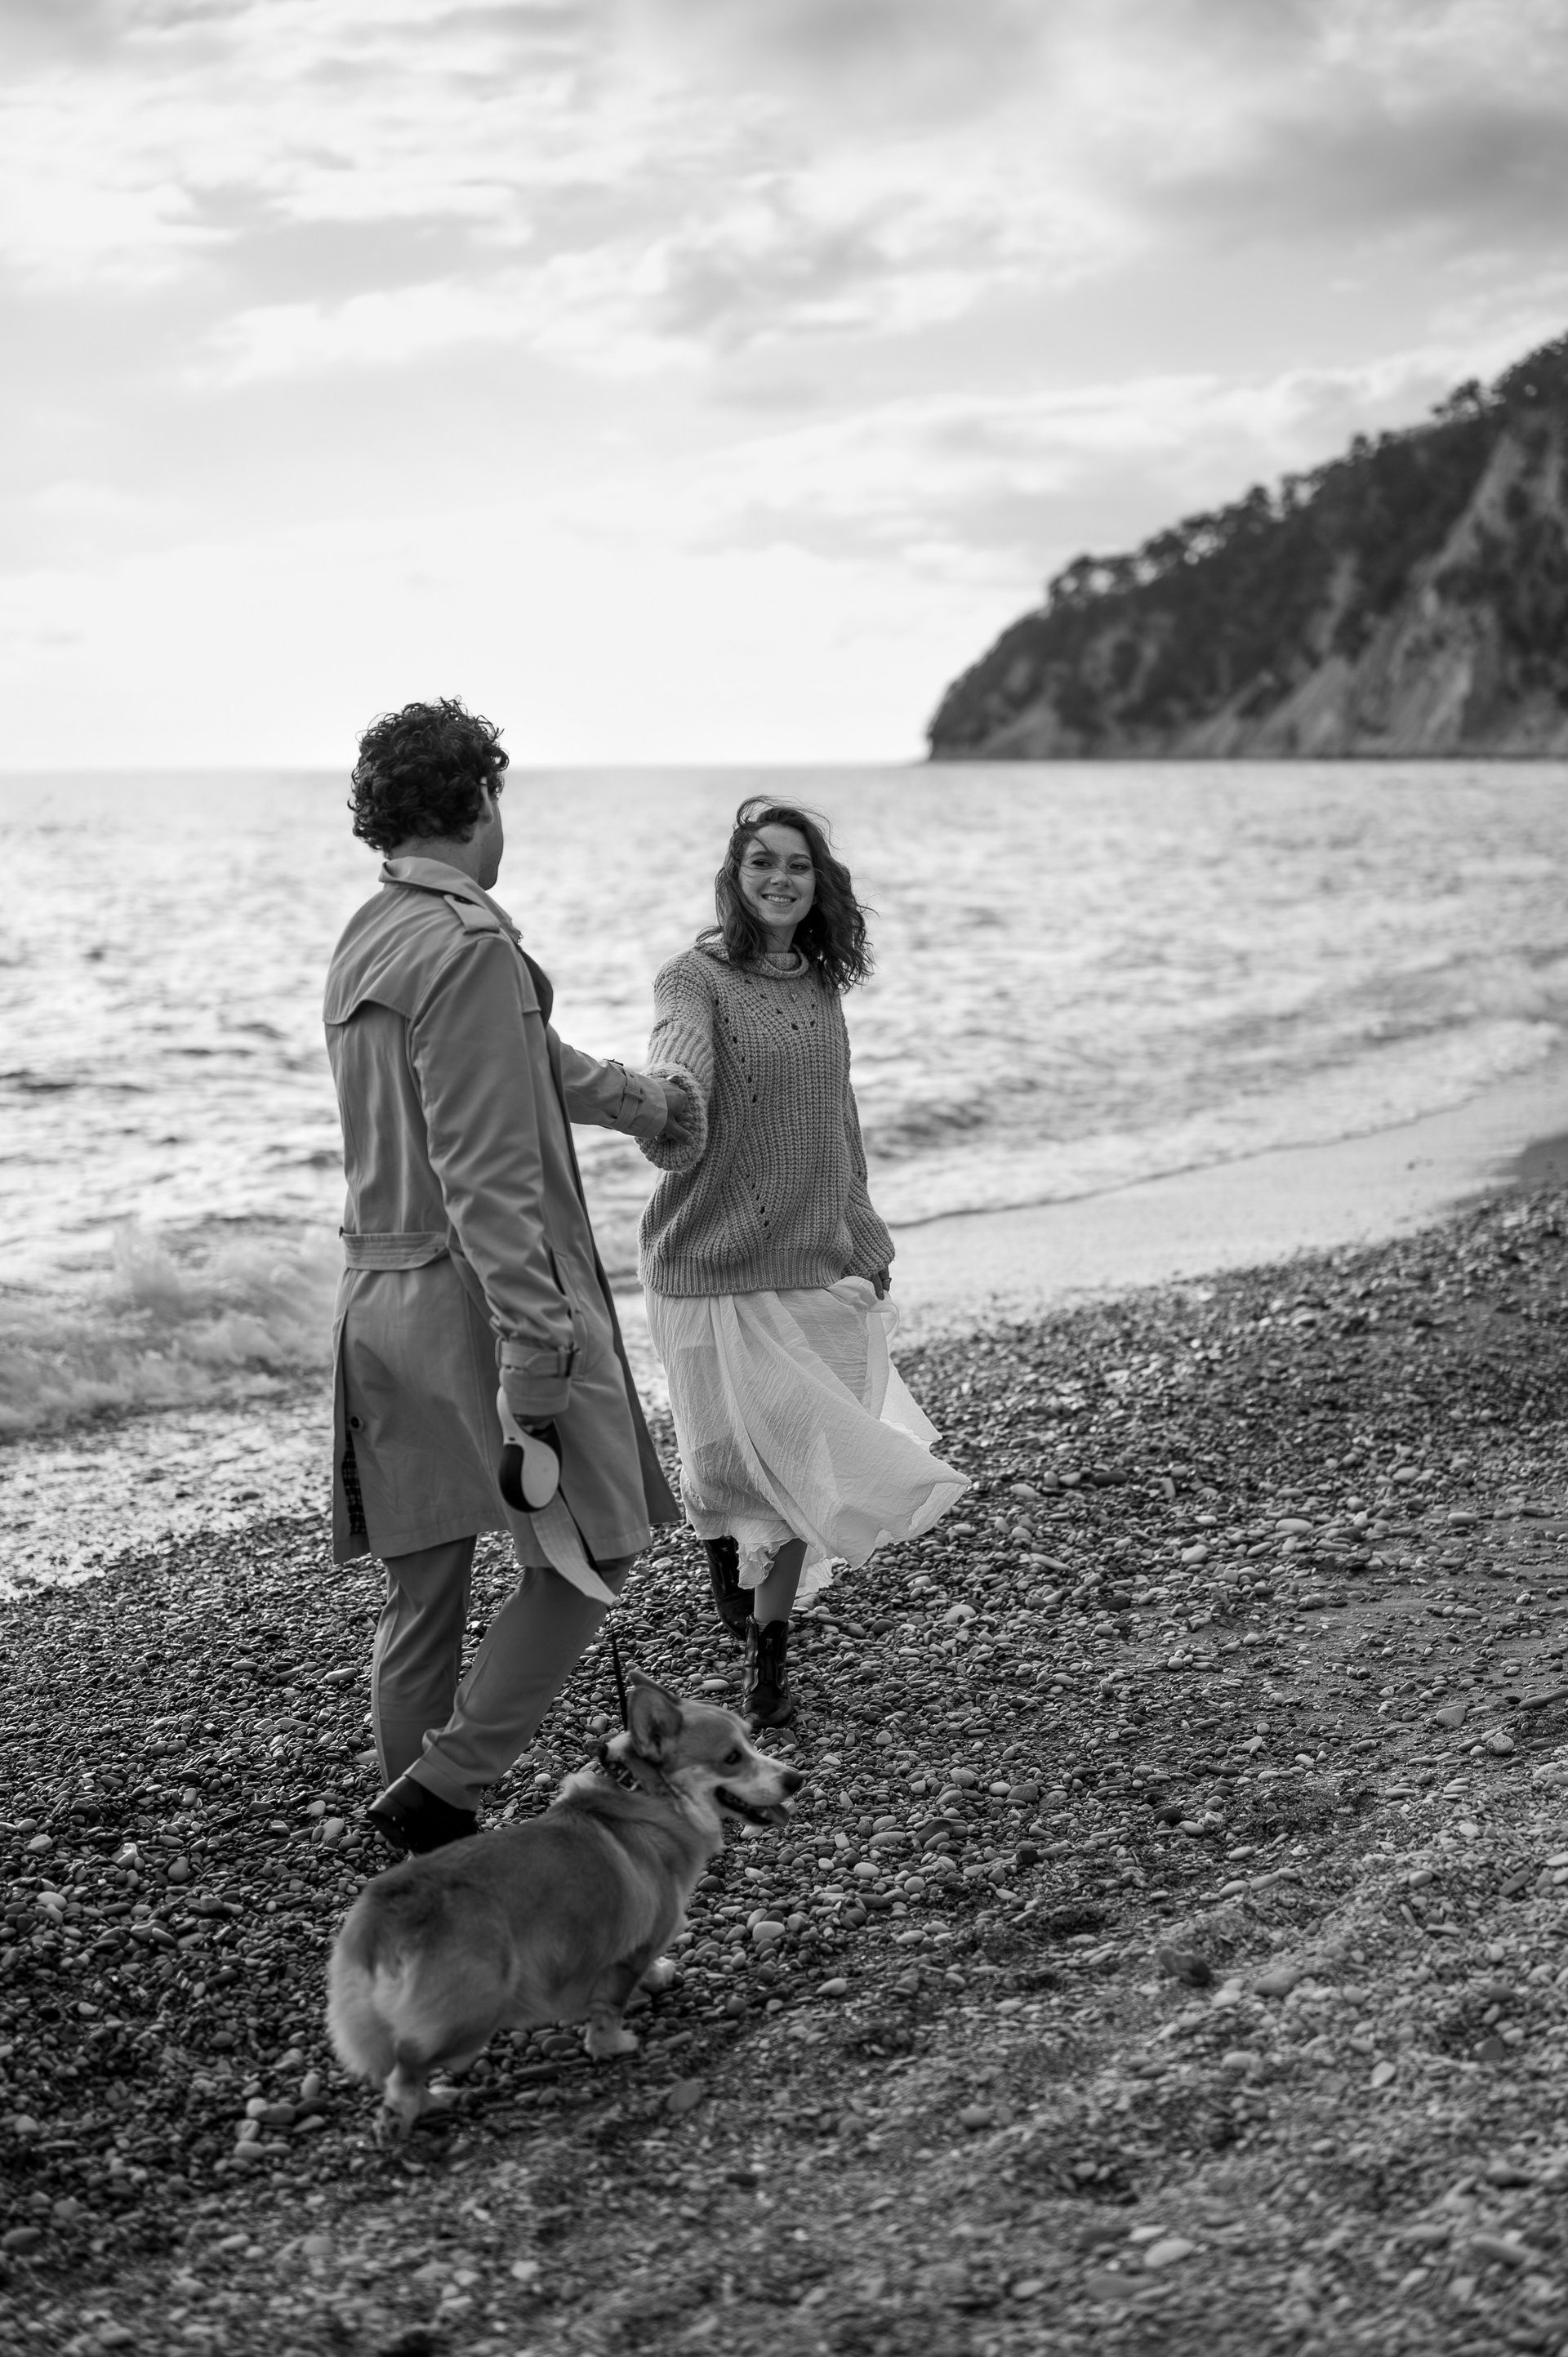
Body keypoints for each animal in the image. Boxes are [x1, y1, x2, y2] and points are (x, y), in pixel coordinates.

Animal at [326, 1670, 802, 2137]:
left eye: (750, 1741)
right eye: (731, 1758)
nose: (795, 1779)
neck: (651, 1794)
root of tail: (379, 1916)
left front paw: (658, 1975)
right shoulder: (630, 1949)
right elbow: (610, 2007)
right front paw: (613, 2046)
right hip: (475, 2010)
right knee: (406, 2068)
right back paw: (421, 2107)